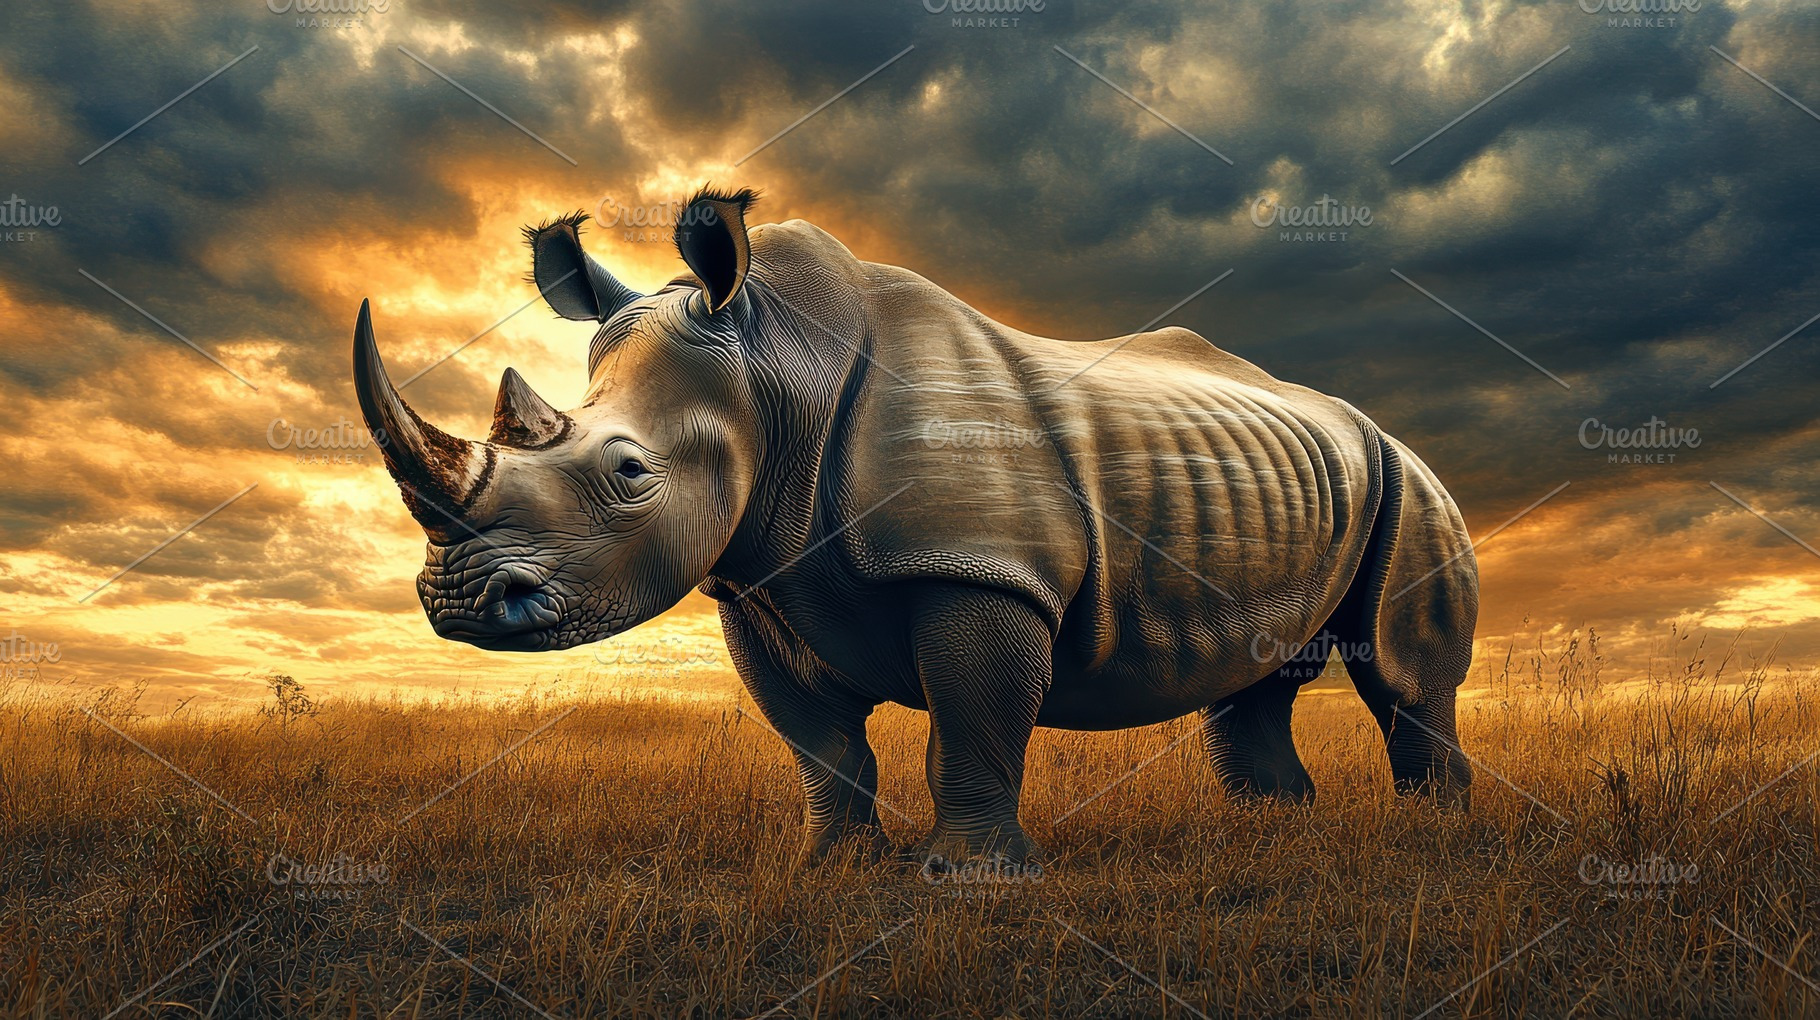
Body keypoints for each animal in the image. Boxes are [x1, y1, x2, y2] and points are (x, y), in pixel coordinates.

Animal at [352, 187, 1478, 865]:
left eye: (628, 472)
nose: (457, 602)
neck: (774, 371)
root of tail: (1366, 422)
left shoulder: (980, 565)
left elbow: (972, 722)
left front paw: (966, 879)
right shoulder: (755, 578)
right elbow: (820, 745)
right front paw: (829, 868)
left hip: (1407, 477)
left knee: (1400, 672)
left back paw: (1430, 835)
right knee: (1254, 677)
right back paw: (1273, 836)